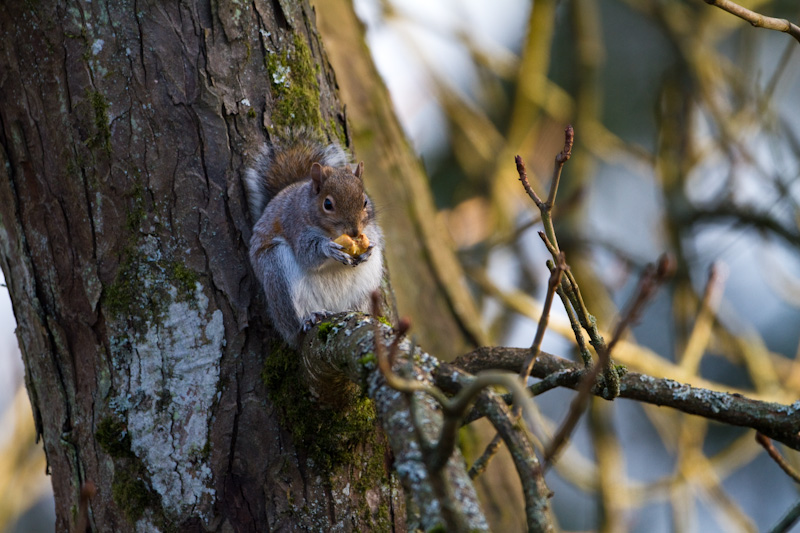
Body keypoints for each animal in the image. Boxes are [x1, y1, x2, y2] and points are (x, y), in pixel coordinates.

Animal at [247, 135, 384, 348]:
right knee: (294, 322)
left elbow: (373, 238)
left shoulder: (370, 227)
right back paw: (311, 317)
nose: (354, 231)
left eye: (365, 202)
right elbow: (307, 254)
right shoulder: (295, 225)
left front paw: (368, 250)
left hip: (366, 287)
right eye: (327, 204)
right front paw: (329, 249)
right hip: (278, 272)